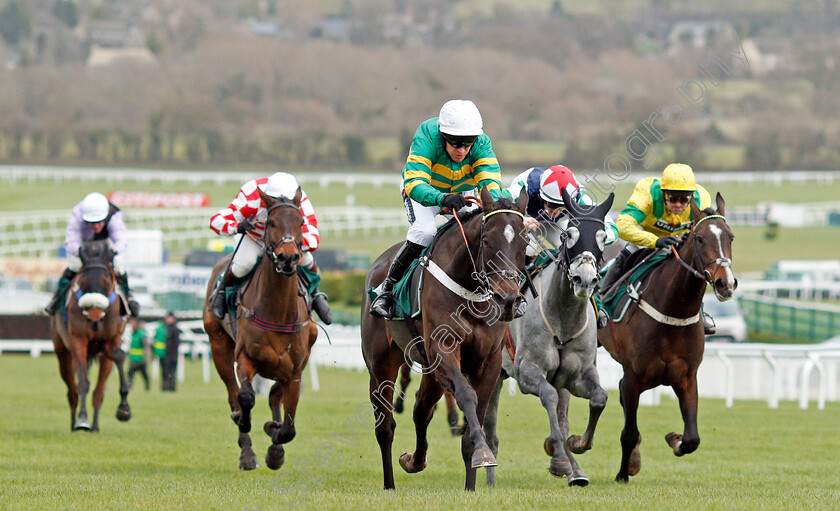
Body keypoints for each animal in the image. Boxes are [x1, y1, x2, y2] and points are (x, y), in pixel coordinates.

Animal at [49, 240, 130, 432]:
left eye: (107, 280)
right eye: (83, 280)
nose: (94, 316)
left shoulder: (112, 339)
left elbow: (119, 357)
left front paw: (124, 408)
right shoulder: (78, 342)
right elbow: (83, 383)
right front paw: (82, 420)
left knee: (99, 392)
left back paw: (95, 426)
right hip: (62, 352)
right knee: (72, 391)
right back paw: (75, 423)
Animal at [203, 188, 318, 472]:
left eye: (301, 222)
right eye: (272, 223)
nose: (288, 257)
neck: (277, 311)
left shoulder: (295, 370)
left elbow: (288, 426)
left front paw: (274, 438)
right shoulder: (246, 357)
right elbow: (245, 397)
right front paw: (247, 425)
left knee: (274, 396)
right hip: (218, 345)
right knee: (233, 393)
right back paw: (246, 450)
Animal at [362, 186, 532, 490]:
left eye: (524, 241)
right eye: (486, 240)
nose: (508, 300)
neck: (470, 291)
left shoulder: (488, 362)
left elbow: (474, 412)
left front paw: (472, 482)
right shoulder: (444, 350)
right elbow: (466, 395)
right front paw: (484, 453)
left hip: (430, 369)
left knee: (421, 409)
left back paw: (414, 461)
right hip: (381, 365)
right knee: (385, 426)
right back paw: (389, 483)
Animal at [482, 188, 612, 488]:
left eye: (603, 237)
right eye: (569, 235)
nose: (584, 279)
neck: (562, 320)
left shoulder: (579, 375)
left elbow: (599, 398)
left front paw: (577, 445)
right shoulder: (527, 371)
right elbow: (549, 399)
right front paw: (564, 457)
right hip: (495, 374)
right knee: (490, 428)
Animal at [596, 193, 736, 484]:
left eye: (730, 237)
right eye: (699, 238)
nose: (725, 284)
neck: (673, 311)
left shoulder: (687, 377)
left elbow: (692, 438)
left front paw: (674, 438)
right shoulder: (634, 377)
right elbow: (628, 433)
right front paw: (623, 474)